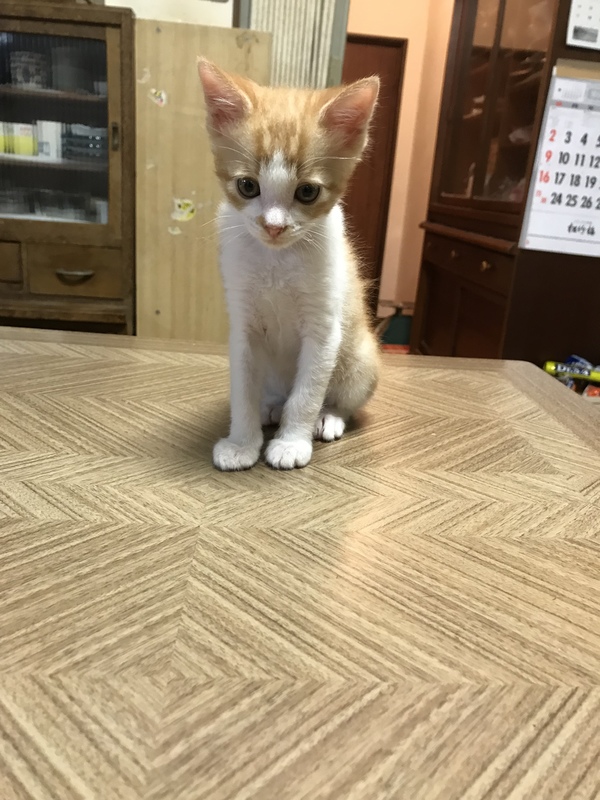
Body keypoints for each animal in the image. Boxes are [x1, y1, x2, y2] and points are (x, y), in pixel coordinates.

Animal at [198, 58, 381, 471]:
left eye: (307, 192)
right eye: (247, 186)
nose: (274, 226)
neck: (276, 259)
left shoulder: (323, 328)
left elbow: (307, 393)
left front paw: (292, 442)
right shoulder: (242, 325)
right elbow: (242, 390)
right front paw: (241, 443)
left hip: (361, 357)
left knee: (341, 396)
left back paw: (328, 417)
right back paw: (271, 406)